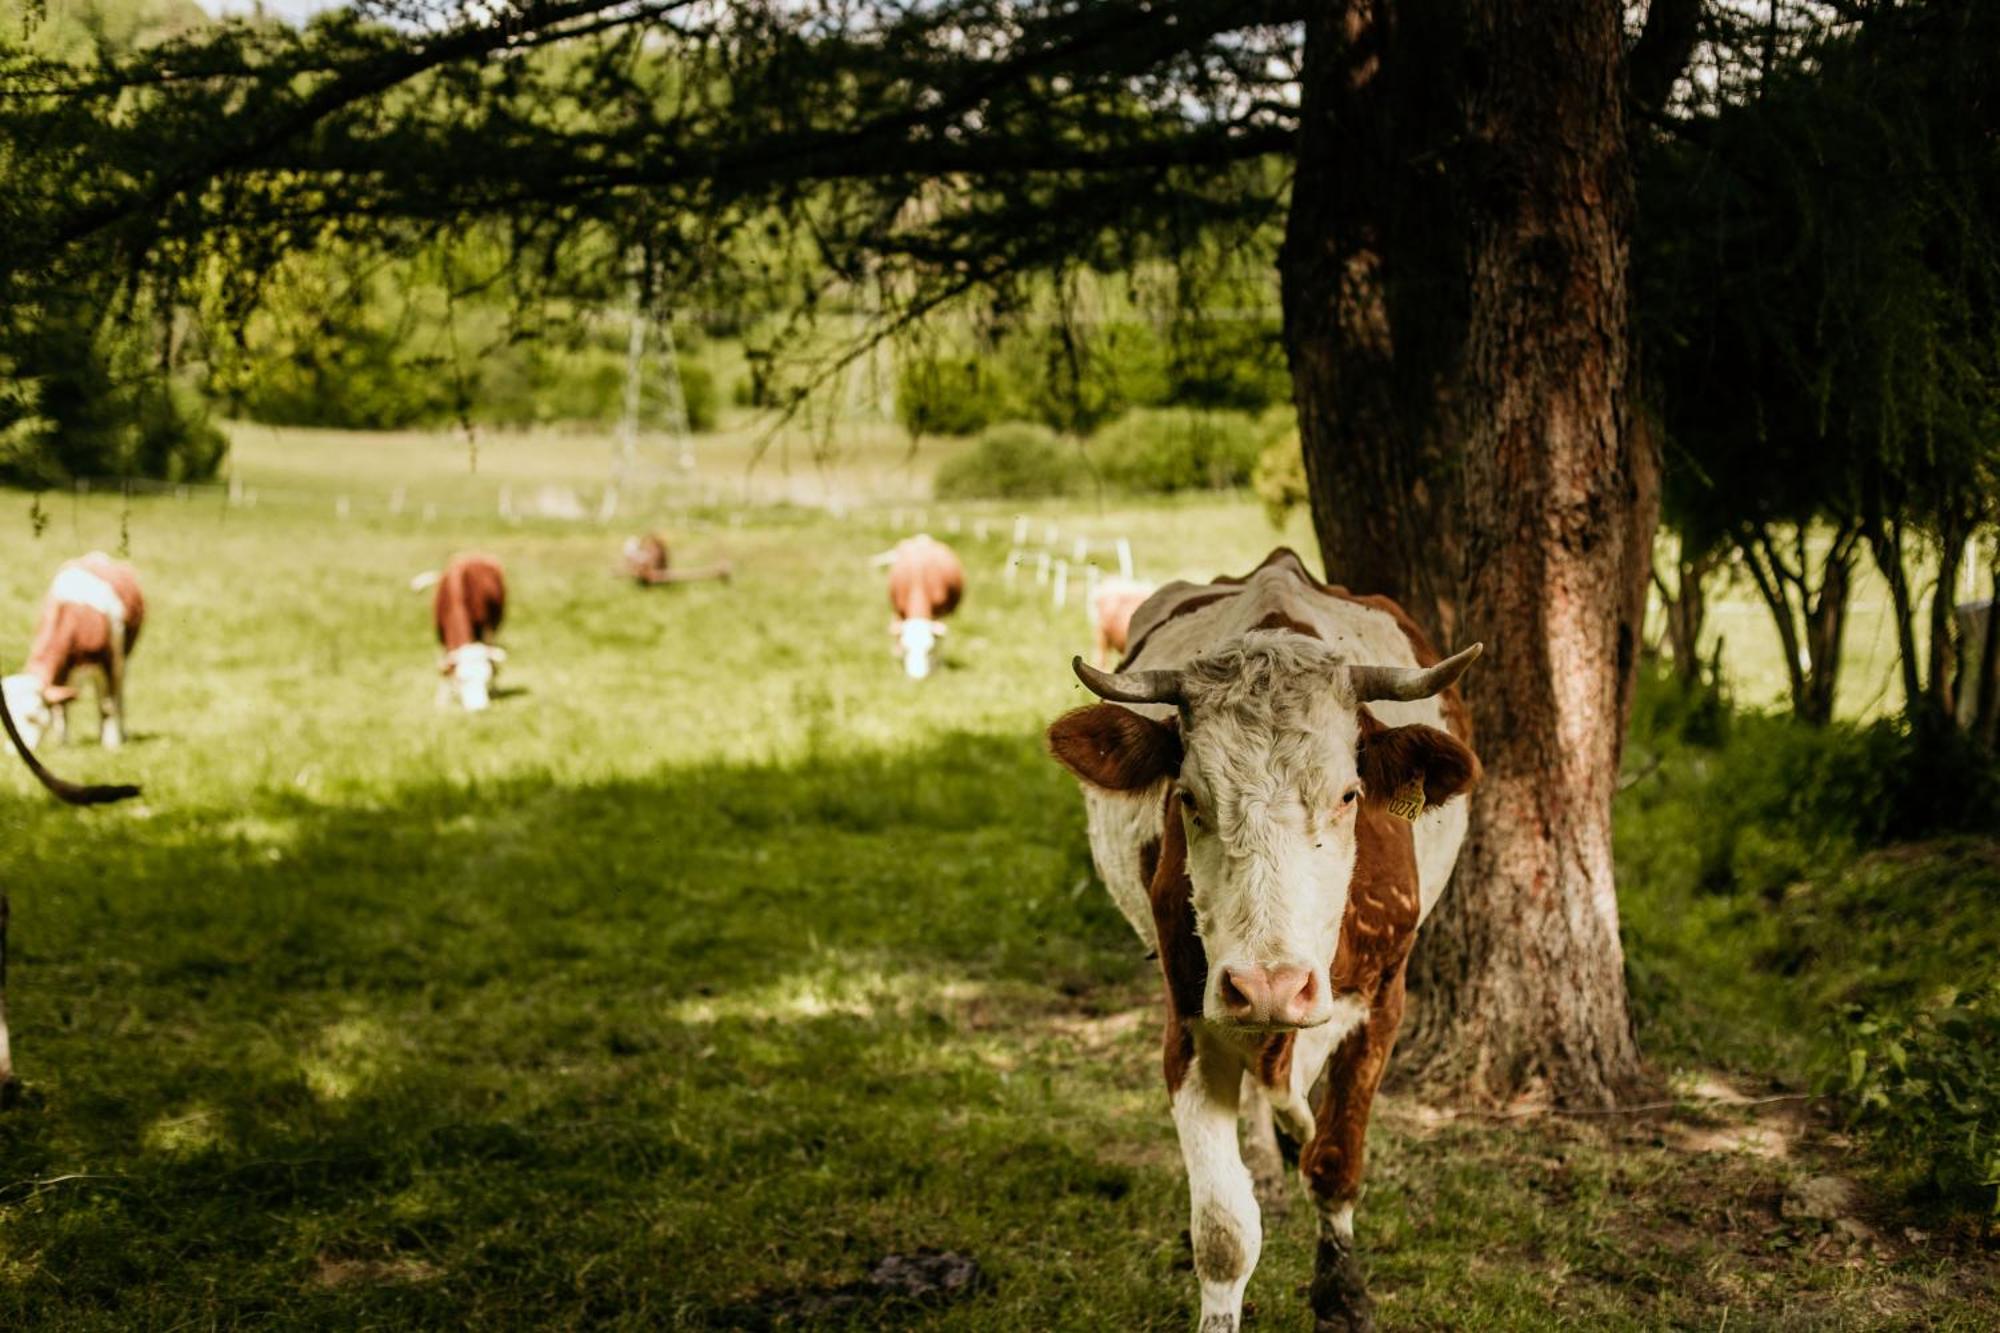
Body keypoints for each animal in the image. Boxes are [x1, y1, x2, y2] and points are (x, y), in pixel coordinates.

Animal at [888, 532, 964, 680]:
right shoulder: (899, 609)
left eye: (929, 649)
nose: (917, 677)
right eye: (906, 648)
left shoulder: (939, 612)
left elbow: (939, 641)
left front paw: (936, 665)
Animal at [1048, 544, 1488, 1320]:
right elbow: (1225, 1230)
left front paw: (1342, 1291)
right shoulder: (1190, 1020)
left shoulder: (1386, 1001)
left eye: (1348, 794)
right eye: (1188, 797)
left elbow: (1336, 1161)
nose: (1269, 985)